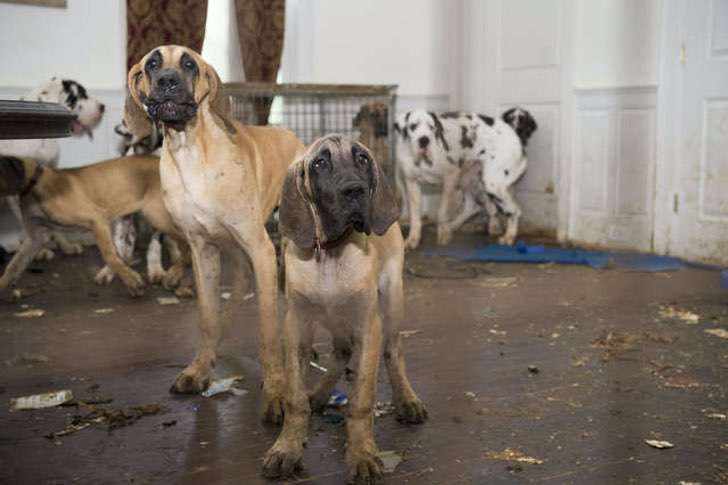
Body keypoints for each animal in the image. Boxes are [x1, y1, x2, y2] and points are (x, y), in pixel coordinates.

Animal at [264, 133, 426, 484]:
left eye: (362, 158)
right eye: (319, 163)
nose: (355, 191)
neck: (330, 254)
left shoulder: (368, 326)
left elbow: (361, 401)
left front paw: (362, 454)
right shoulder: (297, 327)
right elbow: (295, 398)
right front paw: (286, 448)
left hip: (391, 301)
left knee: (393, 350)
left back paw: (406, 400)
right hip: (334, 320)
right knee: (340, 351)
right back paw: (320, 394)